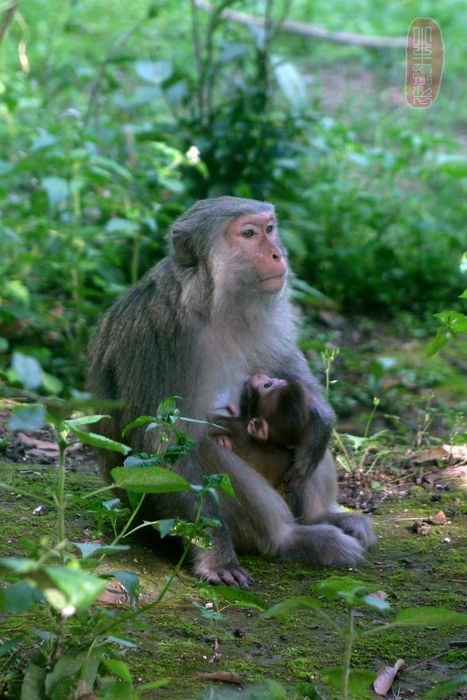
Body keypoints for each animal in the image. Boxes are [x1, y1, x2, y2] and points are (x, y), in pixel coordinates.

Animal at [88, 196, 374, 584]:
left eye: (269, 229)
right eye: (249, 234)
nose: (276, 254)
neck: (214, 304)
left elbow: (288, 369)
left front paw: (322, 420)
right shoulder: (158, 337)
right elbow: (162, 445)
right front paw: (217, 556)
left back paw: (323, 515)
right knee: (205, 446)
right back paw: (292, 538)